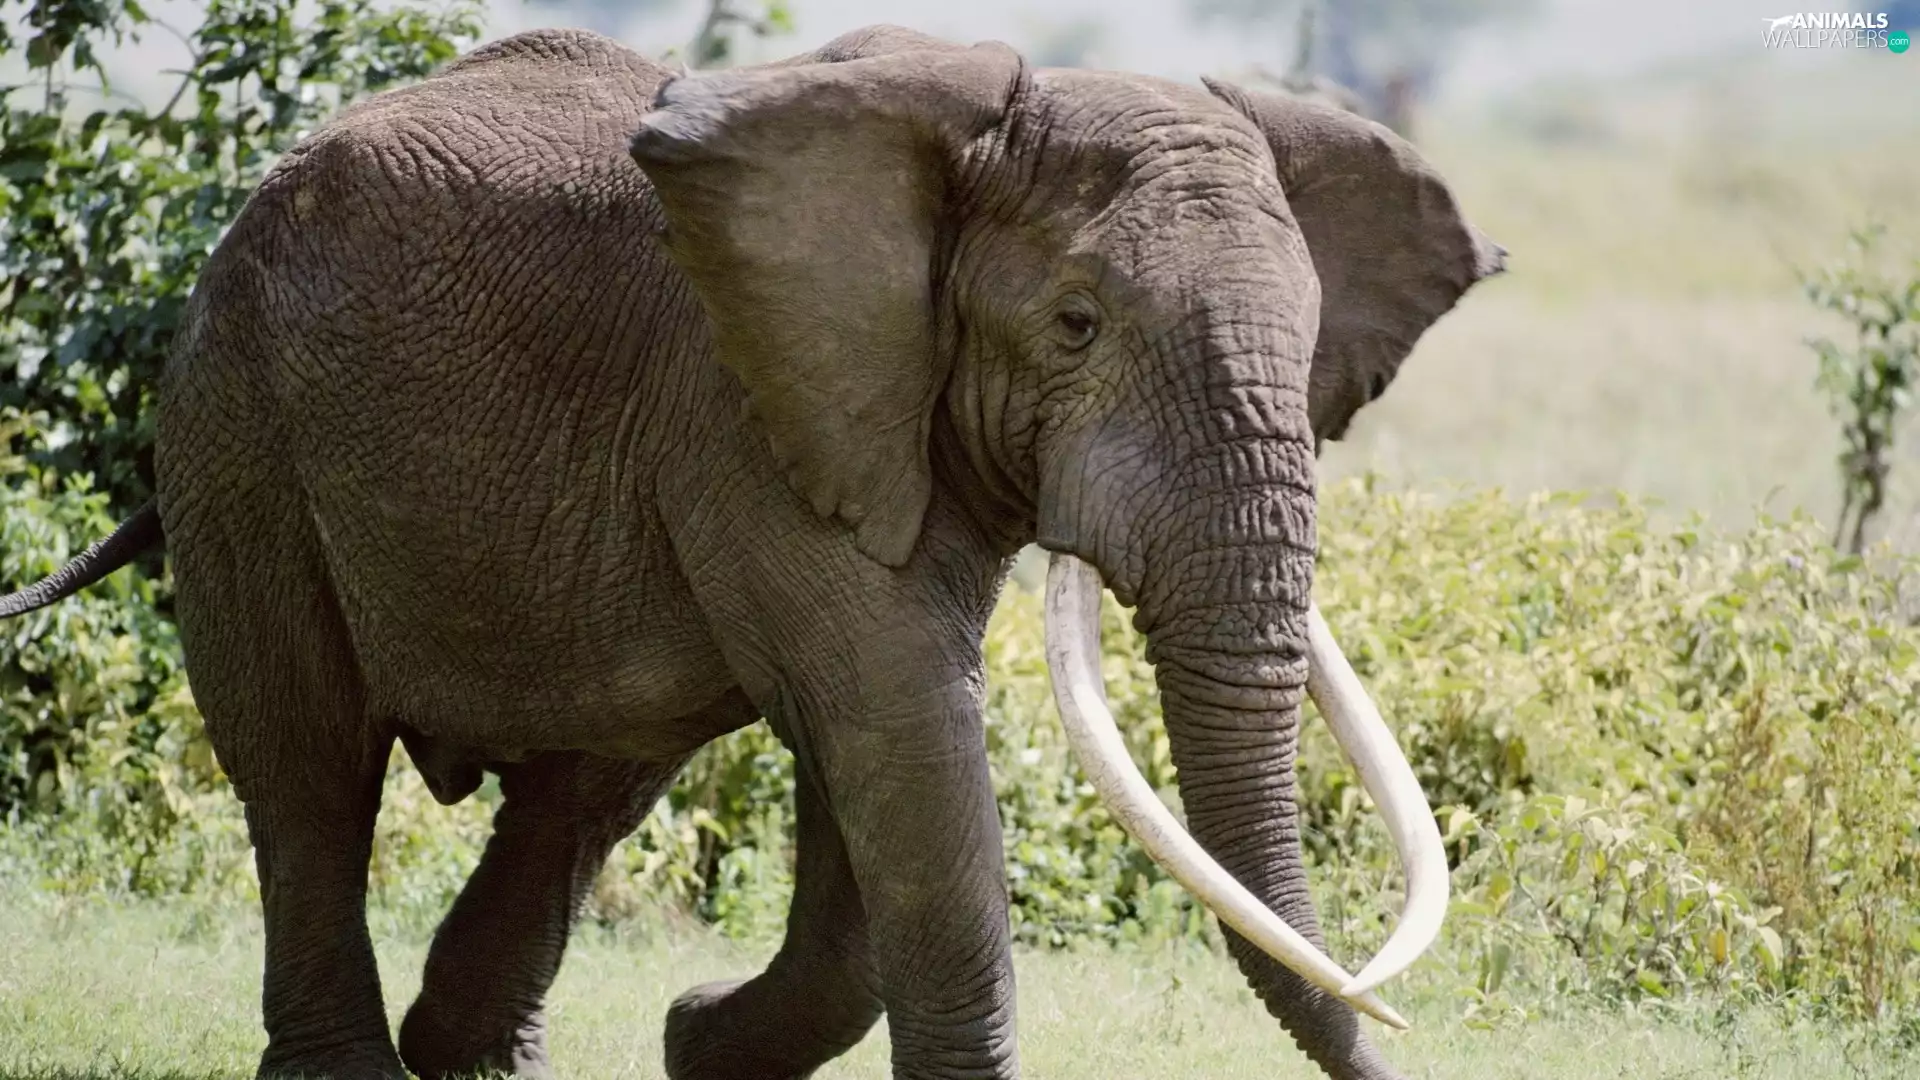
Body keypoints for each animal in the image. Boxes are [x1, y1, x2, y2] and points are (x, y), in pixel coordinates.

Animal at [0, 23, 1504, 1080]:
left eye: (1306, 353)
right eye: (1076, 325)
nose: (1401, 1051)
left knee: (586, 787)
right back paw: (355, 1070)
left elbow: (879, 765)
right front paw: (704, 1036)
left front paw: (693, 1041)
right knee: (308, 762)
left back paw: (473, 1059)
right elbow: (899, 728)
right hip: (239, 428)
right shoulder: (753, 406)